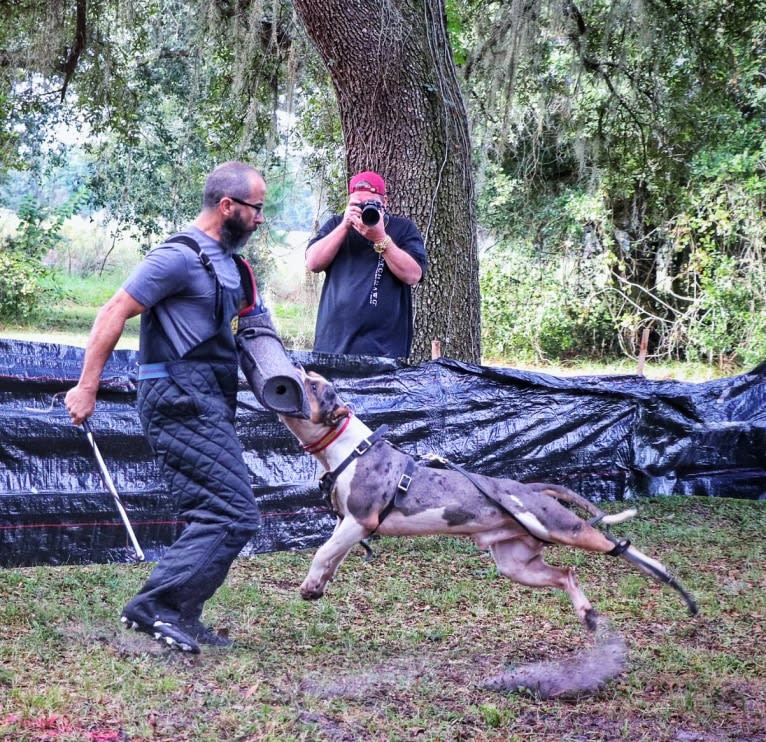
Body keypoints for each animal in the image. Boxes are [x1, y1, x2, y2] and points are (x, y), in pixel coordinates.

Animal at [280, 370, 700, 632]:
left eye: (314, 386)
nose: (293, 368)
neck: (349, 448)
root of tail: (535, 490)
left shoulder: (360, 520)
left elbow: (322, 552)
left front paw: (310, 582)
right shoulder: (347, 524)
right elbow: (333, 557)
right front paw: (317, 586)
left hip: (564, 528)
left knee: (624, 549)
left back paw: (675, 586)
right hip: (517, 564)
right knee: (567, 573)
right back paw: (587, 613)